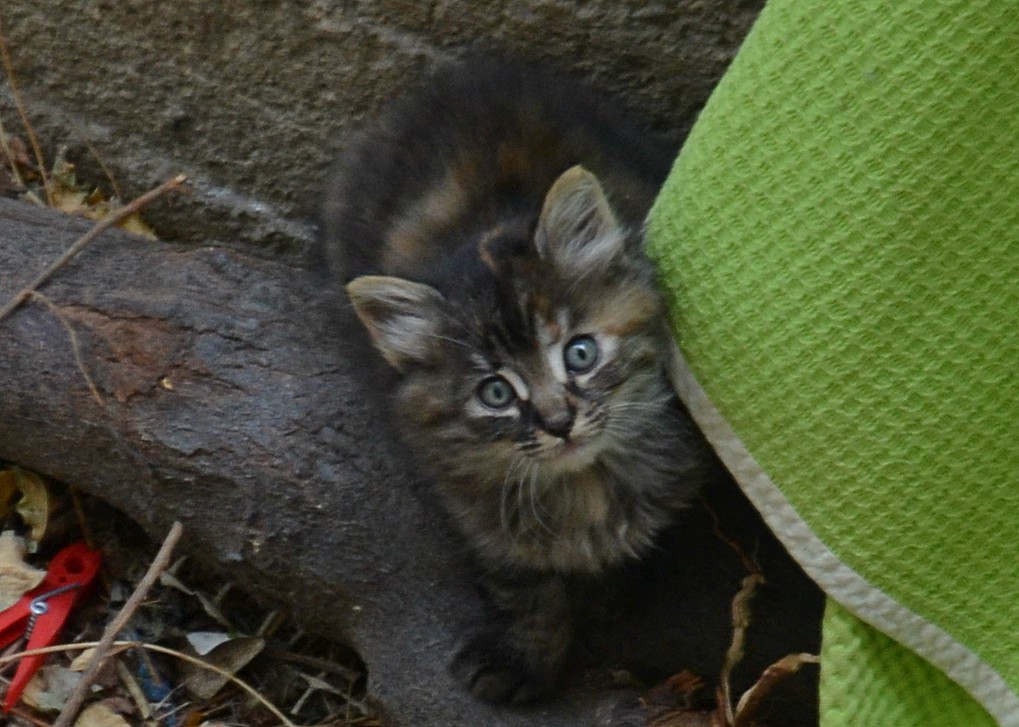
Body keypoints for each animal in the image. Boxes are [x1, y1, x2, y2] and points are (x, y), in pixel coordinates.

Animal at [322, 56, 713, 701]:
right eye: (497, 392)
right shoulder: (472, 506)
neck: (586, 486)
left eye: (579, 354)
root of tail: (463, 71)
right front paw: (525, 660)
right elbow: (524, 587)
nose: (559, 422)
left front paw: (605, 597)